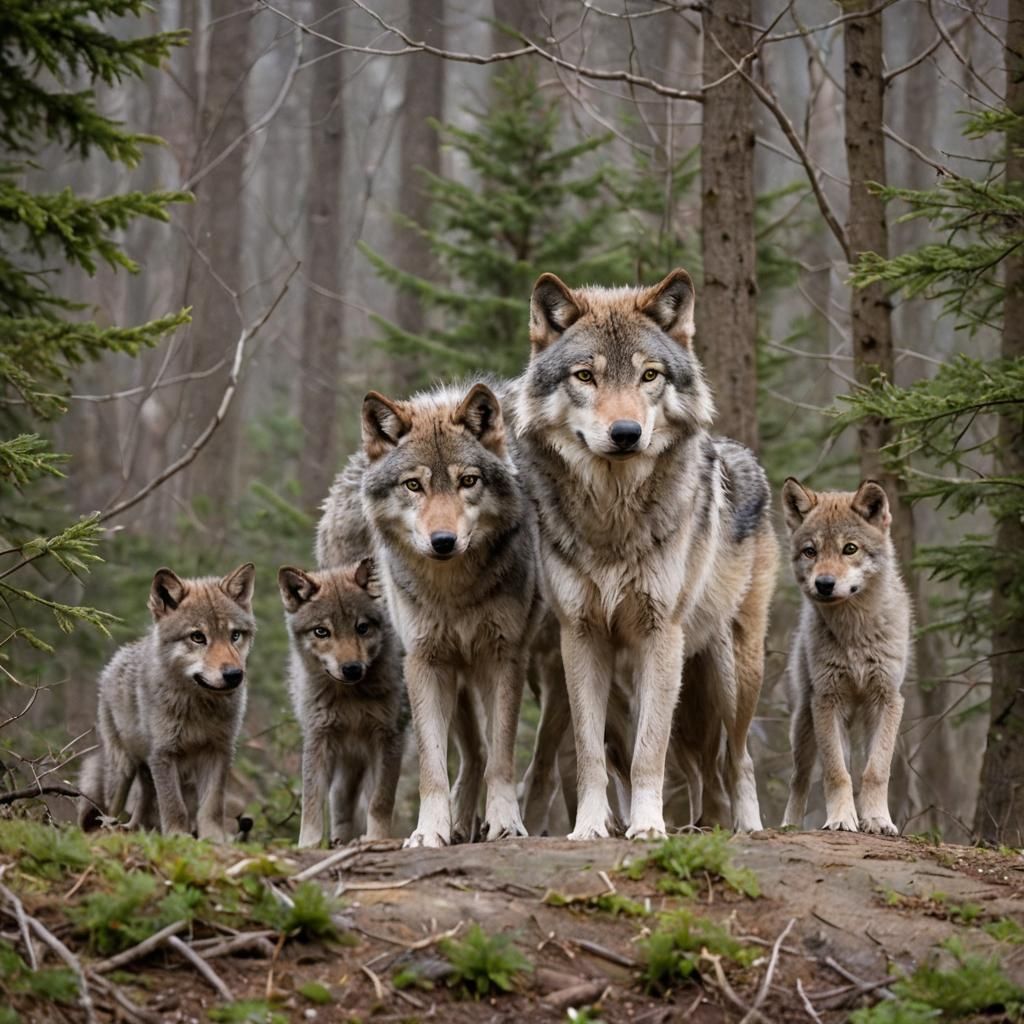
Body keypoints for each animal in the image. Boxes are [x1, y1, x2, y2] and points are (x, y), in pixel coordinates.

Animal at [77, 564, 255, 841]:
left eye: (235, 635)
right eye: (198, 637)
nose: (234, 675)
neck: (199, 705)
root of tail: (115, 659)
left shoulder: (219, 750)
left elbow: (212, 805)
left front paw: (214, 840)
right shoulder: (164, 753)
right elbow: (174, 805)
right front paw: (178, 836)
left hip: (146, 768)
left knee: (145, 803)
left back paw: (137, 829)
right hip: (125, 767)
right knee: (112, 807)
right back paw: (111, 829)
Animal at [279, 558, 406, 847]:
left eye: (362, 627)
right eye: (322, 632)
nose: (352, 669)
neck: (351, 698)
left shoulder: (388, 740)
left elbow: (380, 801)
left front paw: (376, 839)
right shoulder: (319, 739)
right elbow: (312, 803)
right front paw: (309, 845)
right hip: (347, 765)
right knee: (340, 804)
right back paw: (340, 842)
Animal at [318, 381, 542, 848]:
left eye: (468, 481)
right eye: (413, 486)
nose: (443, 541)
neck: (453, 589)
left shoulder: (504, 657)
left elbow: (502, 755)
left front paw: (505, 823)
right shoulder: (424, 661)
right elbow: (431, 765)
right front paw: (429, 831)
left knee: (481, 752)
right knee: (470, 753)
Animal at [512, 269, 777, 839]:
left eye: (649, 375)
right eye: (585, 377)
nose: (626, 433)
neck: (614, 518)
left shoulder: (661, 634)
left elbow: (648, 751)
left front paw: (649, 827)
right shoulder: (580, 637)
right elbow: (590, 754)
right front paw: (591, 827)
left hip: (731, 673)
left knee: (736, 758)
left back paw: (745, 826)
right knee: (701, 769)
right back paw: (704, 824)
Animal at [780, 479, 911, 835]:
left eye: (849, 549)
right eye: (810, 551)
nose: (824, 583)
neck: (855, 634)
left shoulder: (887, 699)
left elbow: (876, 770)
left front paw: (877, 820)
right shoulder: (827, 701)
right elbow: (836, 772)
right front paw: (841, 819)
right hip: (805, 725)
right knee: (799, 779)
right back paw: (789, 826)